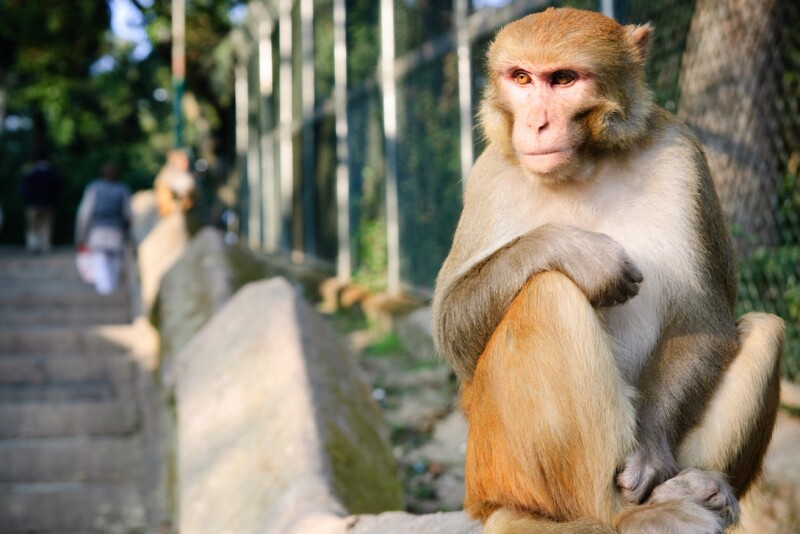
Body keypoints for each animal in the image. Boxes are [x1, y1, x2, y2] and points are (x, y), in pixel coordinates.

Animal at [431, 8, 784, 533]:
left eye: (563, 79)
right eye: (521, 78)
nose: (536, 123)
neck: (586, 165)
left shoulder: (683, 157)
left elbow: (703, 320)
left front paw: (652, 454)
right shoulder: (489, 175)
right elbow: (451, 327)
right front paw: (574, 249)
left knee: (766, 328)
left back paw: (698, 487)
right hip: (501, 469)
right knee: (548, 292)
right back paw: (621, 514)